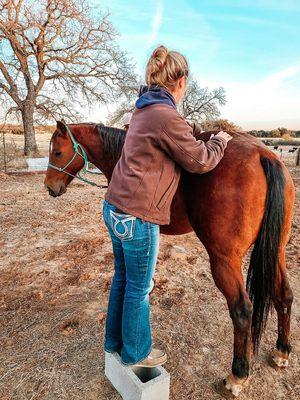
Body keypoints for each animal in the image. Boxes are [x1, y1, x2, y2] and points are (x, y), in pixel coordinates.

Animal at [45, 120, 296, 396]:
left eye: (57, 152)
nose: (50, 187)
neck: (122, 153)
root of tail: (263, 154)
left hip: (224, 261)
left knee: (242, 310)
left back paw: (237, 375)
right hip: (277, 252)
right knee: (284, 294)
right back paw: (281, 351)